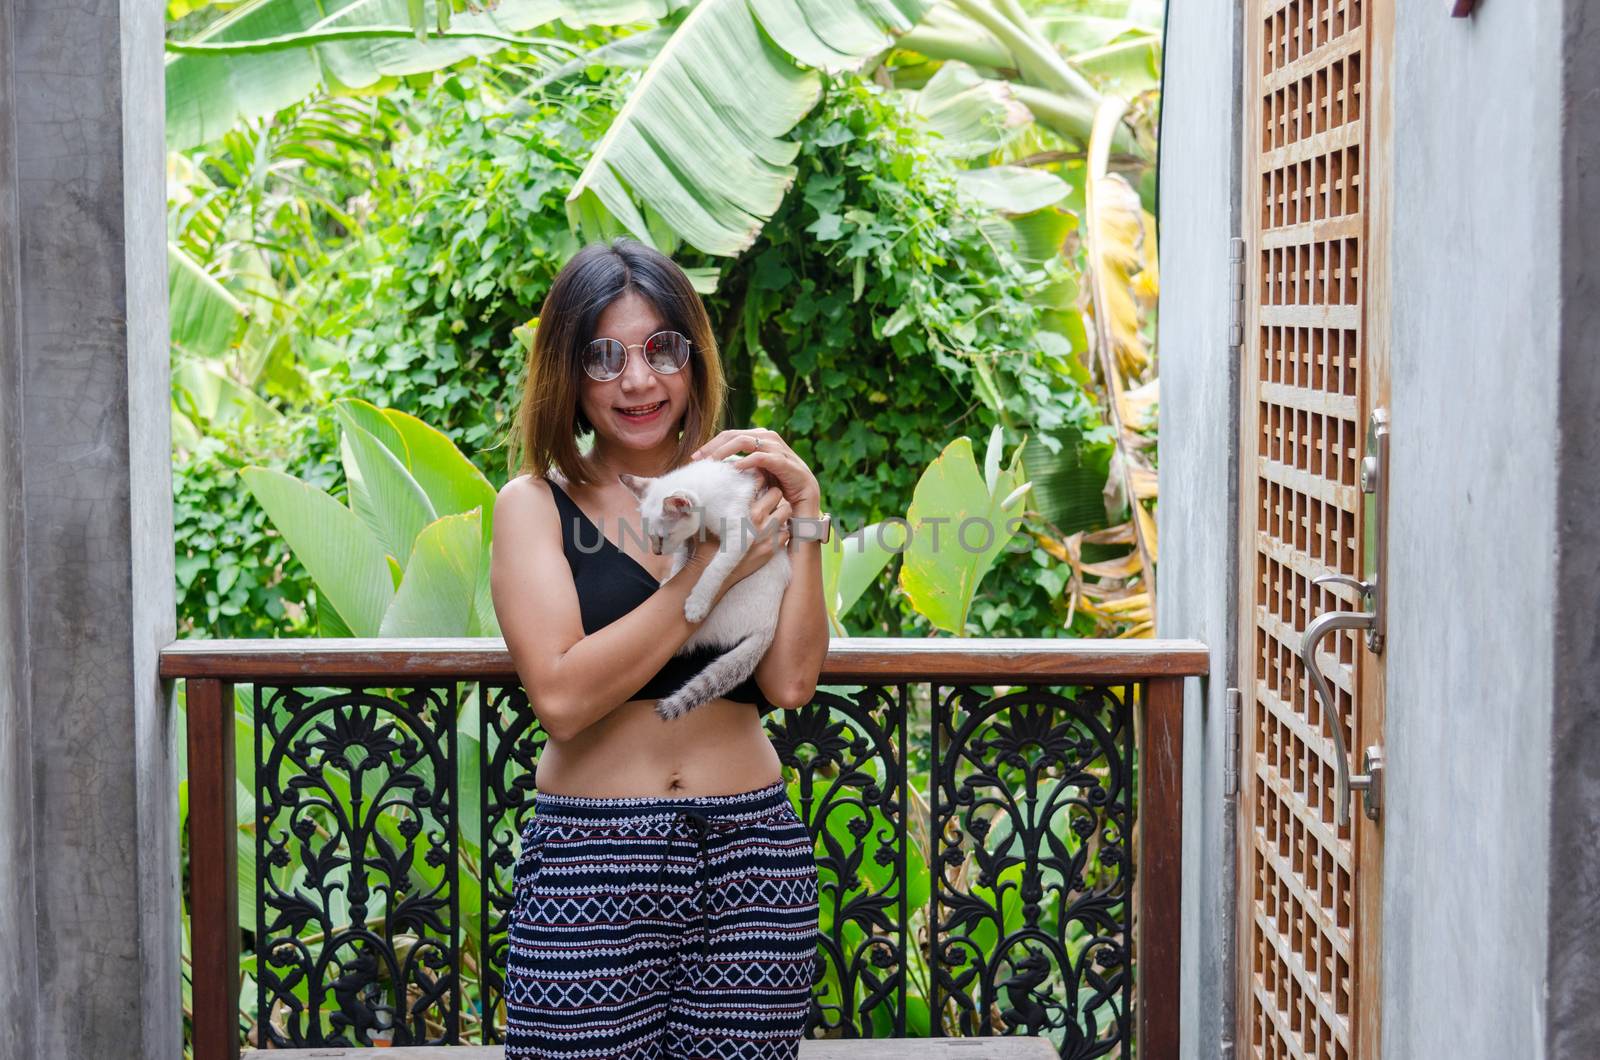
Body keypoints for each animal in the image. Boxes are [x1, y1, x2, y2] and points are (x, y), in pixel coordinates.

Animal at [617, 461, 793, 726]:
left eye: (662, 537)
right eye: (650, 537)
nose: (657, 552)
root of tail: (767, 628)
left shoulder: (741, 533)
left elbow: (714, 568)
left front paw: (695, 604)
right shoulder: (691, 539)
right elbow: (683, 559)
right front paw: (673, 576)